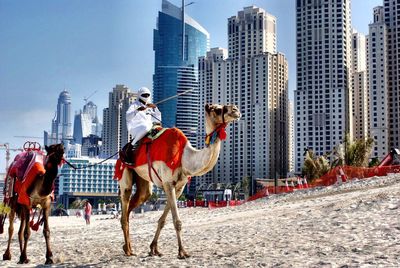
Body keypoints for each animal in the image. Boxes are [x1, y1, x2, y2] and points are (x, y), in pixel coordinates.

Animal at [118, 103, 241, 258]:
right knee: (125, 200)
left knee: (136, 202)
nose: (236, 110)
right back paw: (128, 250)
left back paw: (127, 247)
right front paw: (182, 251)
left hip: (143, 181)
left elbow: (163, 220)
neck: (184, 157)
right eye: (217, 109)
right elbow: (177, 221)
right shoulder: (168, 182)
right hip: (125, 173)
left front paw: (154, 248)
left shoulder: (179, 187)